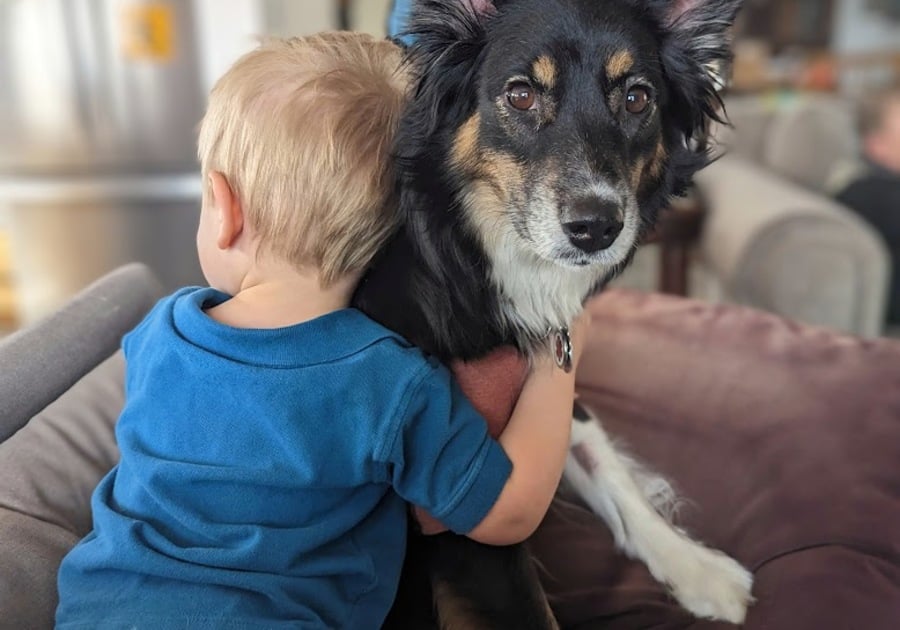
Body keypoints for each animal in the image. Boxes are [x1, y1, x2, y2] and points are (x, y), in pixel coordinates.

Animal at [352, 0, 752, 628]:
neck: (468, 266)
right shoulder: (472, 512)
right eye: (520, 95)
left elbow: (609, 467)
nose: (596, 227)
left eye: (637, 98)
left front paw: (694, 565)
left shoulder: (555, 393)